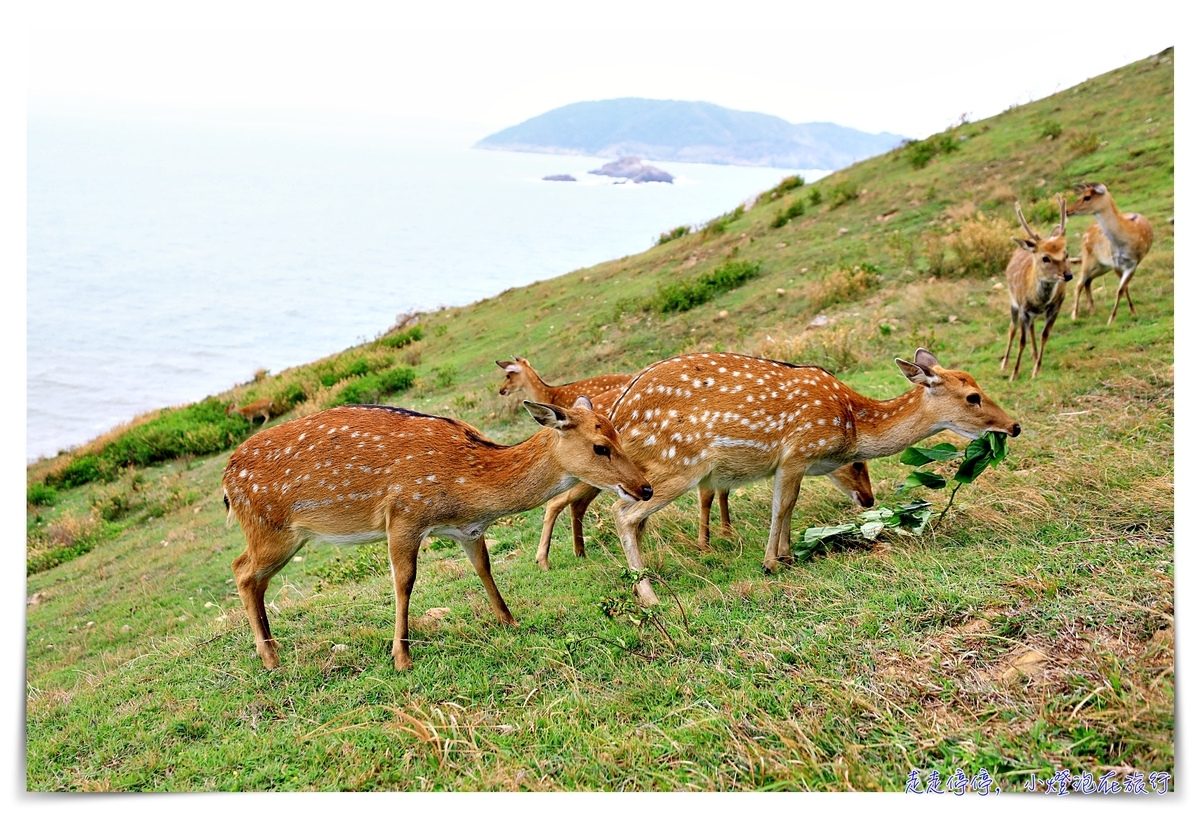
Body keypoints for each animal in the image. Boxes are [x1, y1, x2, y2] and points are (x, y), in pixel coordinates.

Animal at [225, 395, 657, 666]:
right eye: (600, 446)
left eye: (619, 433)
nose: (645, 488)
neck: (469, 488)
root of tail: (227, 483)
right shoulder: (403, 515)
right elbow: (404, 582)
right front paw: (402, 657)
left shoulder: (468, 530)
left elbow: (484, 568)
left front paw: (510, 621)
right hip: (272, 530)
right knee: (241, 570)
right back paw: (270, 658)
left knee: (253, 578)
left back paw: (272, 647)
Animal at [604, 347, 1017, 602]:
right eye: (973, 397)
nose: (1014, 426)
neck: (850, 421)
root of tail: (615, 420)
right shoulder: (797, 451)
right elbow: (782, 504)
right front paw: (771, 562)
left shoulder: (793, 463)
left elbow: (790, 505)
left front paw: (788, 555)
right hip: (680, 464)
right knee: (622, 514)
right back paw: (650, 596)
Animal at [998, 194, 1075, 379]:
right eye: (1045, 258)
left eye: (1066, 253)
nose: (1068, 275)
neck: (1039, 300)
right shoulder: (1023, 308)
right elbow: (1021, 340)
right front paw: (1014, 374)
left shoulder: (1056, 306)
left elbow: (1045, 335)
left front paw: (1036, 369)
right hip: (1013, 301)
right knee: (1012, 328)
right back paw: (1004, 363)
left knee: (1031, 326)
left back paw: (1033, 355)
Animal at [1070, 183, 1152, 323]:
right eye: (1080, 195)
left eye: (1087, 197)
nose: (1068, 210)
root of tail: (1085, 234)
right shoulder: (1115, 262)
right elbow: (1123, 288)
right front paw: (1113, 318)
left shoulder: (1133, 263)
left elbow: (1122, 289)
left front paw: (1130, 313)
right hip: (1088, 258)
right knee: (1079, 282)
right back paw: (1075, 315)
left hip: (1102, 265)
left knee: (1087, 280)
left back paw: (1091, 310)